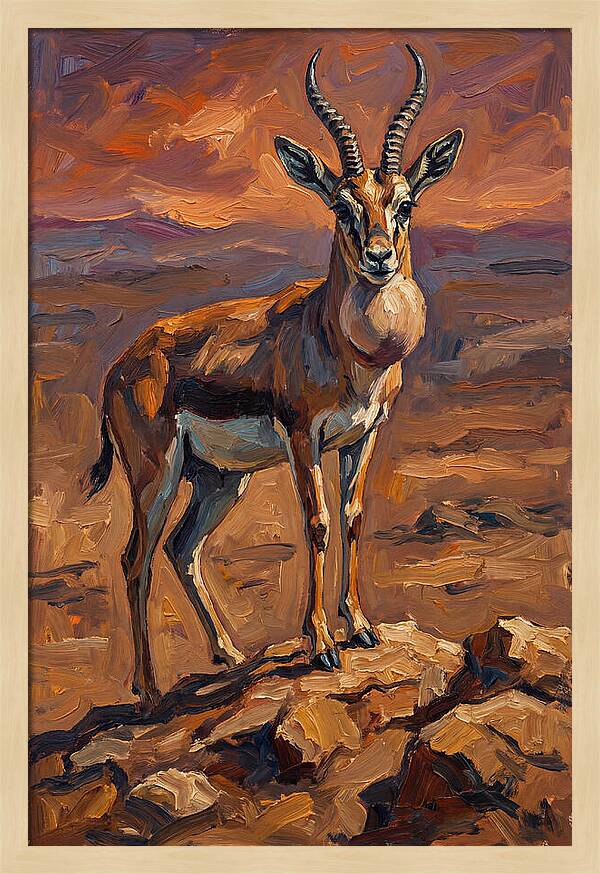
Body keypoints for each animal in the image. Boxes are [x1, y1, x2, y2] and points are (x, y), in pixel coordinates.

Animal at [85, 45, 463, 710]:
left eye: (405, 203)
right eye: (342, 205)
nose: (379, 258)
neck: (341, 345)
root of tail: (120, 365)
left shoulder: (364, 435)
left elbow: (352, 515)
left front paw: (360, 627)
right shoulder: (302, 437)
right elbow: (315, 523)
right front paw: (322, 645)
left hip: (218, 480)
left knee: (183, 547)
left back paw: (231, 654)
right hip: (157, 474)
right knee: (136, 558)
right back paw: (150, 691)